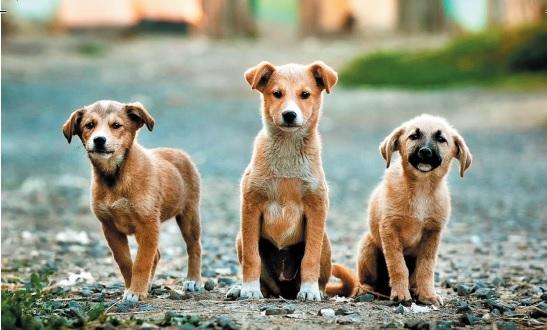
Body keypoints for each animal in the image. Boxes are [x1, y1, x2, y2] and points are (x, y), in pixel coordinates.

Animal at [62, 100, 203, 302]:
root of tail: (179, 152)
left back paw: (193, 280)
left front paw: (136, 291)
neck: (115, 177)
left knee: (194, 247)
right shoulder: (110, 227)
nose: (99, 140)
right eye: (89, 125)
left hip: (189, 215)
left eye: (116, 125)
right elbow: (126, 262)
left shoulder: (148, 224)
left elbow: (142, 262)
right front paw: (132, 288)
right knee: (157, 255)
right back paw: (149, 285)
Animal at [227, 62, 338, 302]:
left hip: (325, 241)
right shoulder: (251, 206)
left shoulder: (316, 208)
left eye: (305, 94)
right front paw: (249, 289)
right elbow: (252, 257)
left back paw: (317, 290)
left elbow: (310, 258)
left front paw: (309, 290)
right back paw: (241, 288)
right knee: (265, 281)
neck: (287, 150)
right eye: (276, 93)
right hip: (240, 238)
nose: (289, 115)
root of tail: (284, 288)